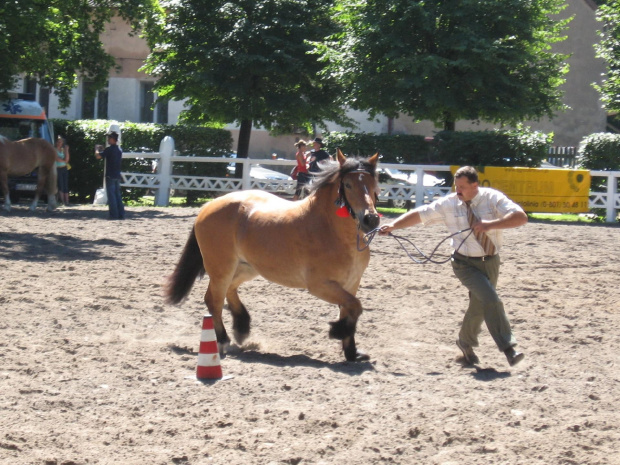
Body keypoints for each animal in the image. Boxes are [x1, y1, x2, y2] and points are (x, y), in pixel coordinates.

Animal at [167, 150, 382, 360]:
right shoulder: (320, 286)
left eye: (374, 184)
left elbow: (350, 309)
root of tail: (208, 206)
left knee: (229, 290)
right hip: (222, 268)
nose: (370, 219)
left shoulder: (351, 284)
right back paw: (223, 340)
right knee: (214, 300)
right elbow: (355, 307)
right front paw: (338, 331)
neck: (332, 230)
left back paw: (242, 327)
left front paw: (352, 353)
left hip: (248, 268)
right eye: (348, 184)